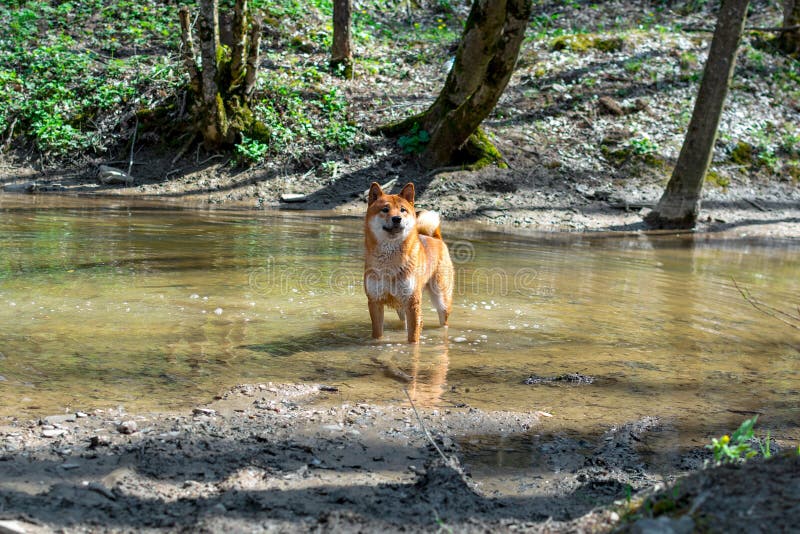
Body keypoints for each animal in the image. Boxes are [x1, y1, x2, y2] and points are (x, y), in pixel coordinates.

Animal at [364, 183, 454, 344]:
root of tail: (436, 239)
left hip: (441, 299)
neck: (389, 262)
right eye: (385, 209)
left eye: (402, 210)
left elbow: (413, 337)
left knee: (443, 322)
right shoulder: (375, 302)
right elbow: (377, 334)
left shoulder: (412, 302)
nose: (397, 218)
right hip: (401, 307)